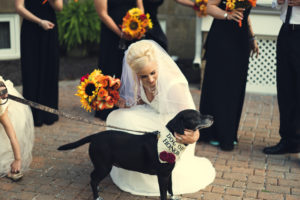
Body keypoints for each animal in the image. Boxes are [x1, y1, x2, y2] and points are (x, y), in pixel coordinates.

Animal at [57, 109, 213, 200]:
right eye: (195, 117)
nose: (212, 116)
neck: (170, 139)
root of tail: (95, 136)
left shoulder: (169, 173)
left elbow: (171, 188)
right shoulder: (162, 176)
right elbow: (163, 193)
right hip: (103, 166)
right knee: (93, 179)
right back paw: (97, 196)